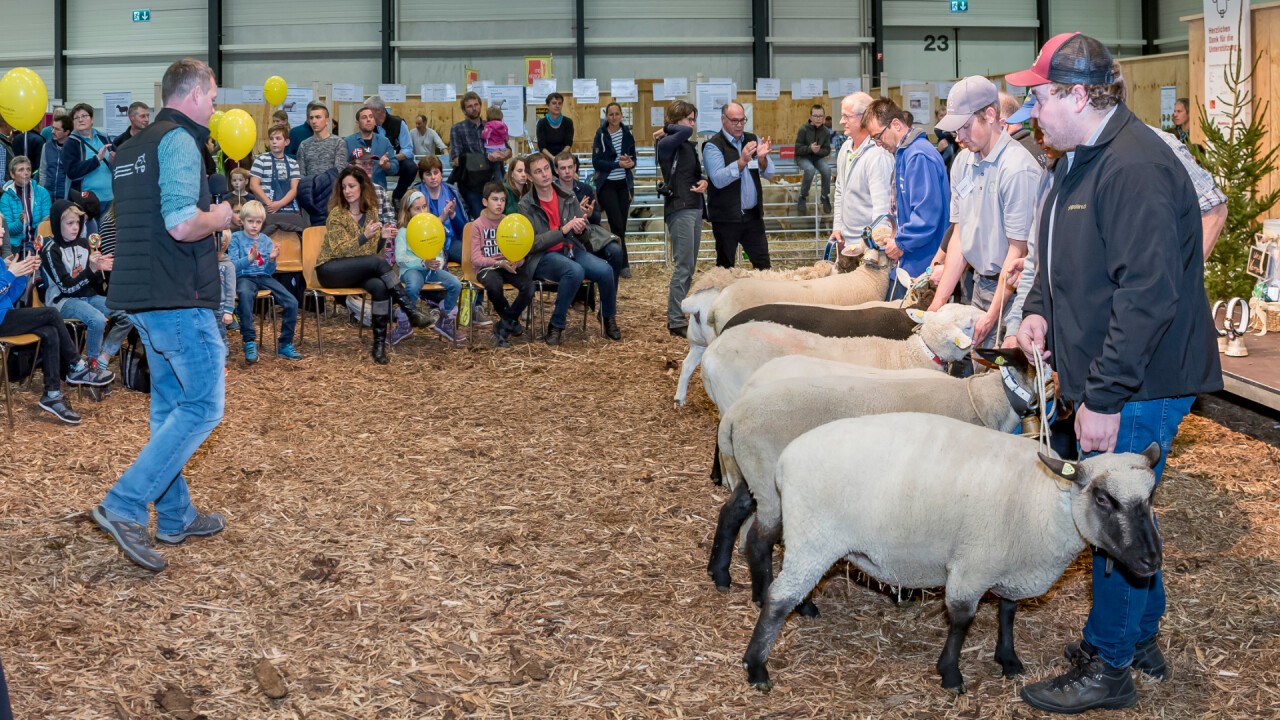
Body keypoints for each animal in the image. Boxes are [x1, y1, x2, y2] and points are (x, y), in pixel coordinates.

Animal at [742, 412, 1172, 691]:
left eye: (1151, 496)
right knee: (778, 598)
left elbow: (1008, 611)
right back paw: (756, 667)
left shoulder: (1008, 560)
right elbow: (962, 619)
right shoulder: (974, 562)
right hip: (815, 537)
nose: (1151, 562)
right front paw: (950, 674)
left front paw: (1008, 660)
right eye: (1103, 498)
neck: (1047, 500)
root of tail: (785, 460)